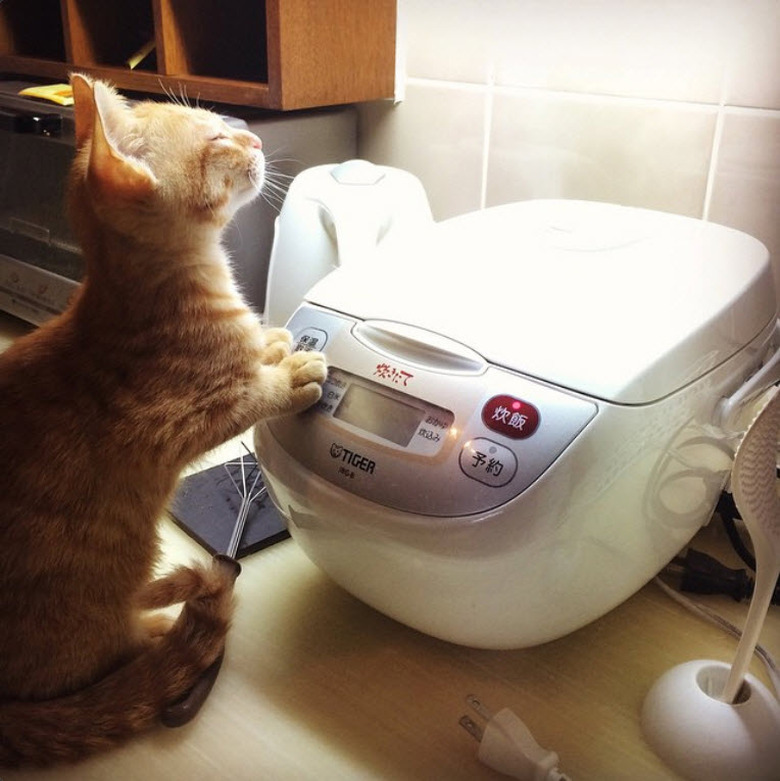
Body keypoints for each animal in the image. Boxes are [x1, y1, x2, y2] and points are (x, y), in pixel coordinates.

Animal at [0, 74, 324, 760]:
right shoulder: (174, 423)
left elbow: (257, 350)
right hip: (98, 604)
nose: (257, 139)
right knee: (115, 660)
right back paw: (162, 632)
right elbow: (249, 394)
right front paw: (289, 373)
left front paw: (275, 342)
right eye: (217, 137)